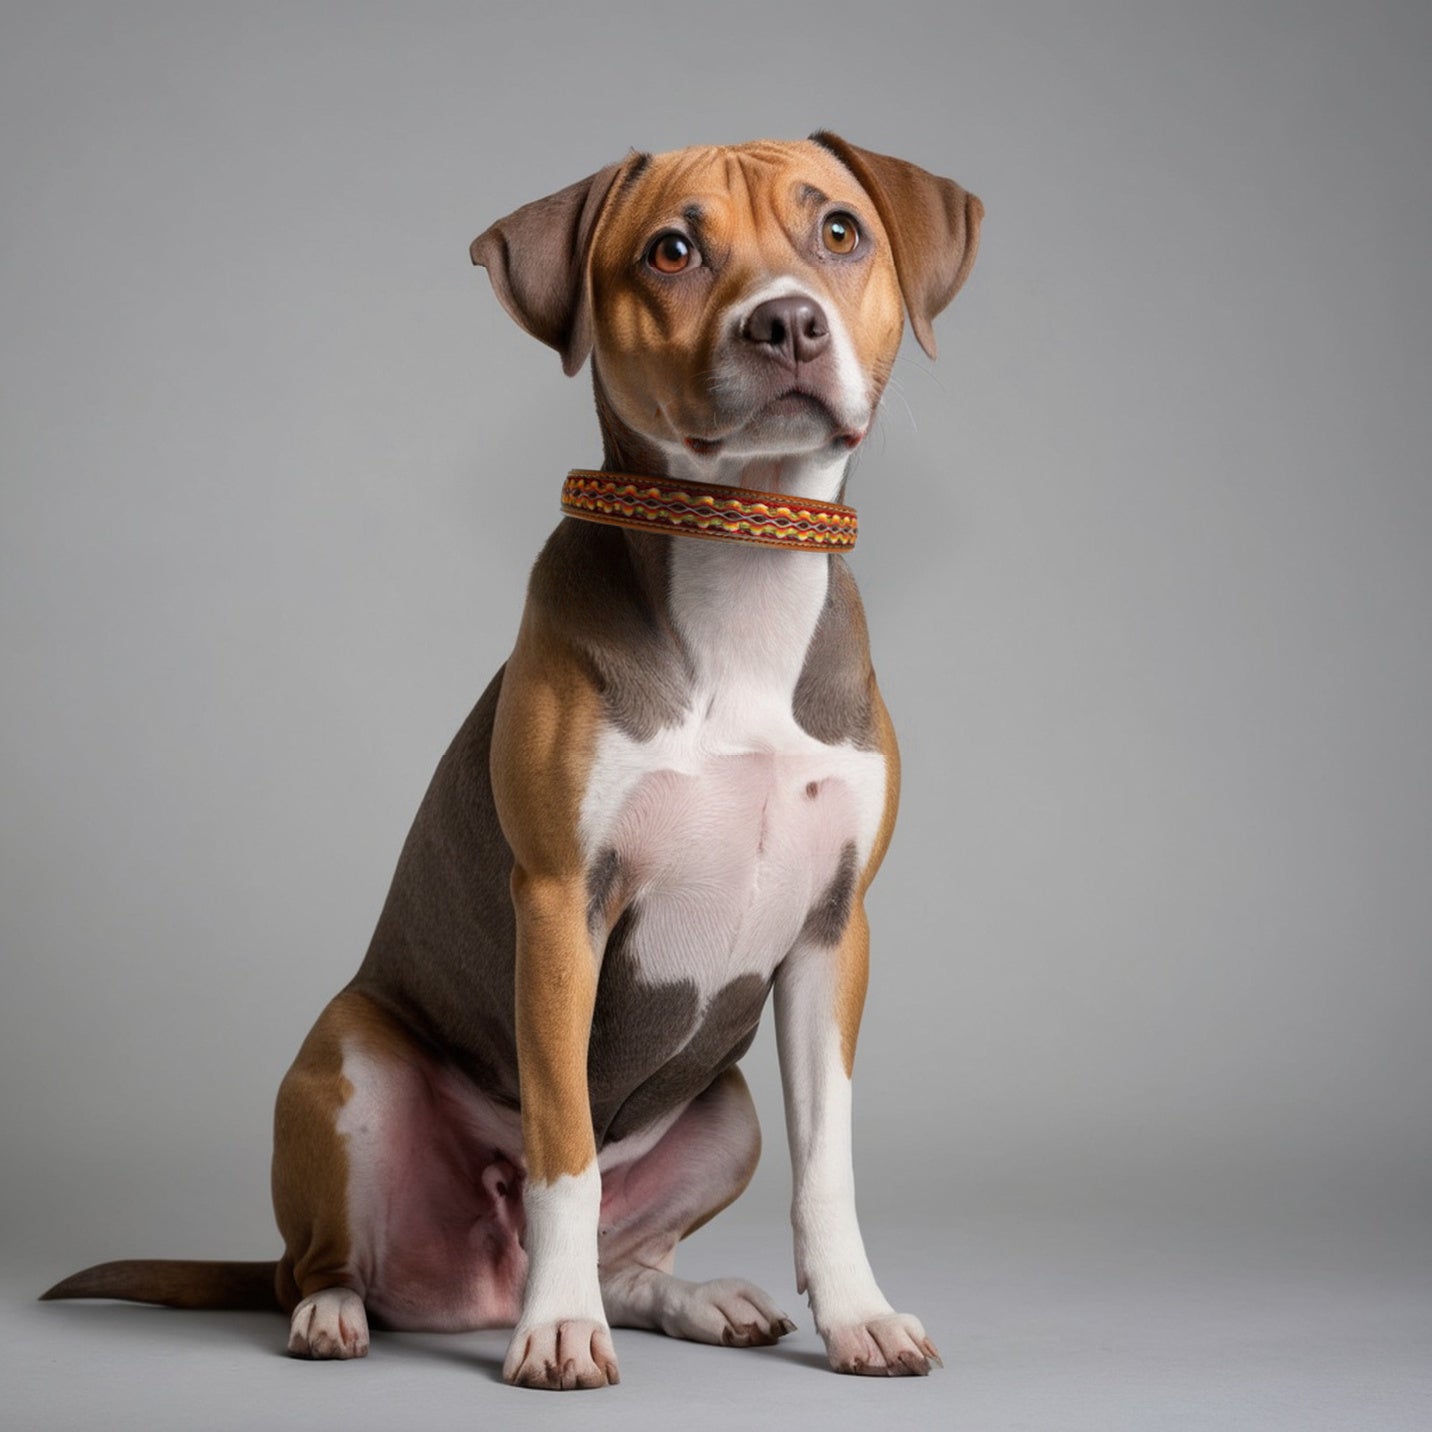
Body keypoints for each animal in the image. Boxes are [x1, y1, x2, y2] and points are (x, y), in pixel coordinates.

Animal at [44, 131, 985, 1386]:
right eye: (671, 251)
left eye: (838, 230)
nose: (785, 323)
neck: (741, 570)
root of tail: (469, 1285)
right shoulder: (560, 909)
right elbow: (563, 1152)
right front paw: (560, 1329)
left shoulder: (834, 931)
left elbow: (825, 1160)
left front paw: (856, 1314)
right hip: (347, 1061)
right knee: (322, 1258)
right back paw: (342, 1314)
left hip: (725, 1110)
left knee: (640, 1253)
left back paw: (692, 1300)